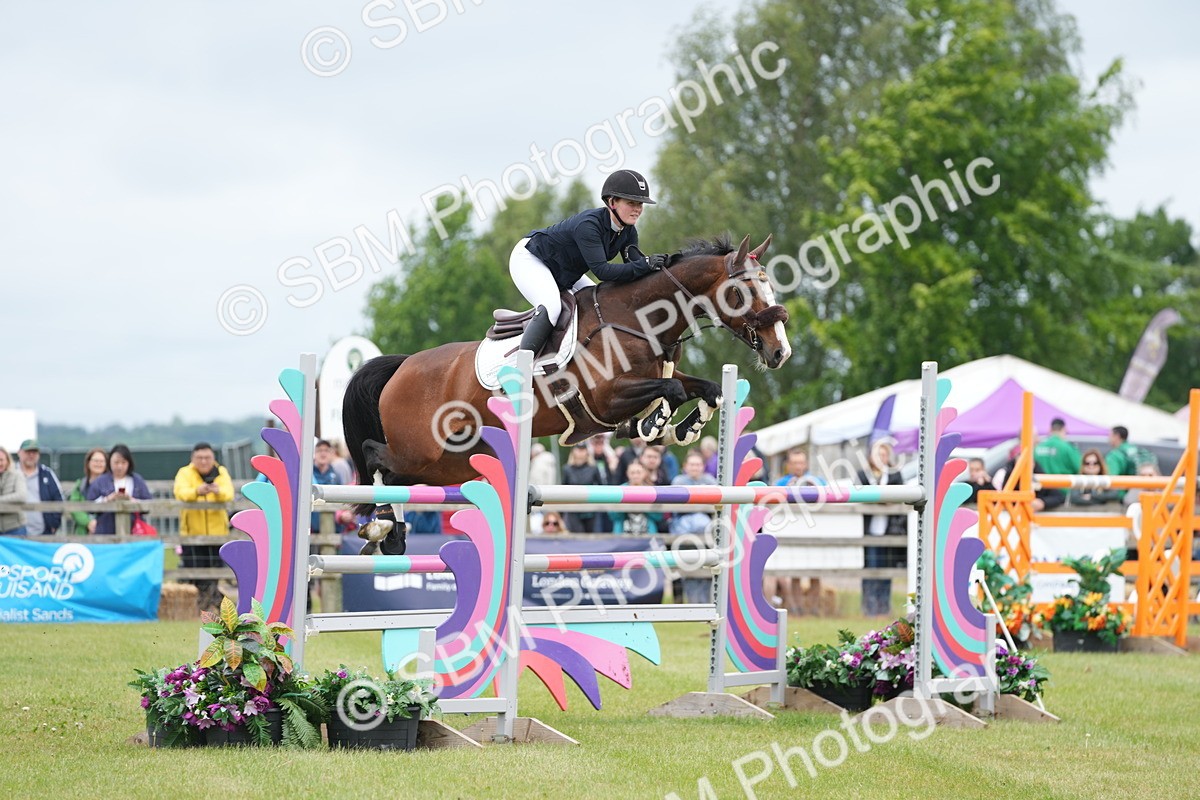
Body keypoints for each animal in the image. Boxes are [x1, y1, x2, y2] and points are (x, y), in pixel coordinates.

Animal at [342, 233, 791, 521]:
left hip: (453, 463)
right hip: (420, 449)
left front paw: (682, 428)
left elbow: (707, 389)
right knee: (374, 457)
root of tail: (402, 366)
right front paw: (653, 424)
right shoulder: (606, 399)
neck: (637, 319)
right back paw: (384, 525)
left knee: (398, 476)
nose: (780, 352)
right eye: (744, 292)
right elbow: (673, 389)